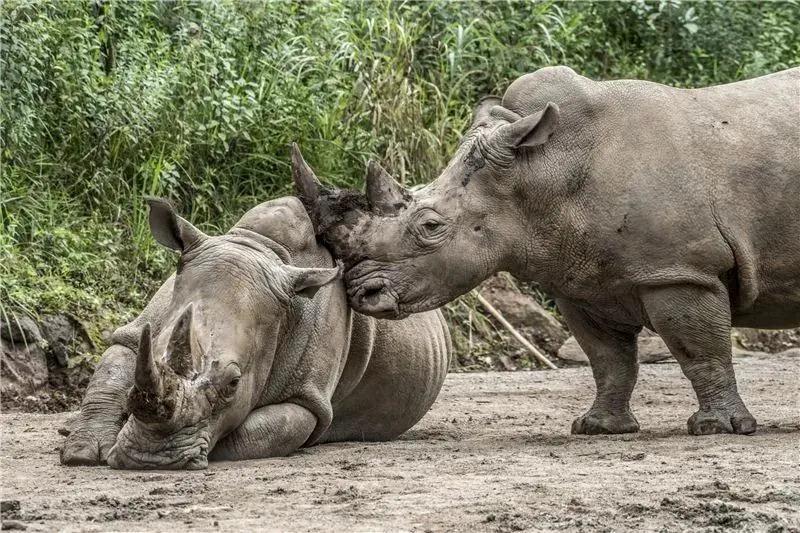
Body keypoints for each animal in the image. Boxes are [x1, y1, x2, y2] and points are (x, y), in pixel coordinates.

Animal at [62, 193, 450, 468]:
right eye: (154, 350)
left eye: (234, 383)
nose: (149, 459)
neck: (260, 247)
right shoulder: (138, 332)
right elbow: (111, 374)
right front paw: (82, 449)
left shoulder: (307, 400)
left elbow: (257, 431)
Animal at [296, 66, 800, 436]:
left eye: (430, 227)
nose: (363, 294)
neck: (541, 172)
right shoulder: (583, 280)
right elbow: (608, 360)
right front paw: (598, 429)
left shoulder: (679, 269)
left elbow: (699, 350)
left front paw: (718, 428)